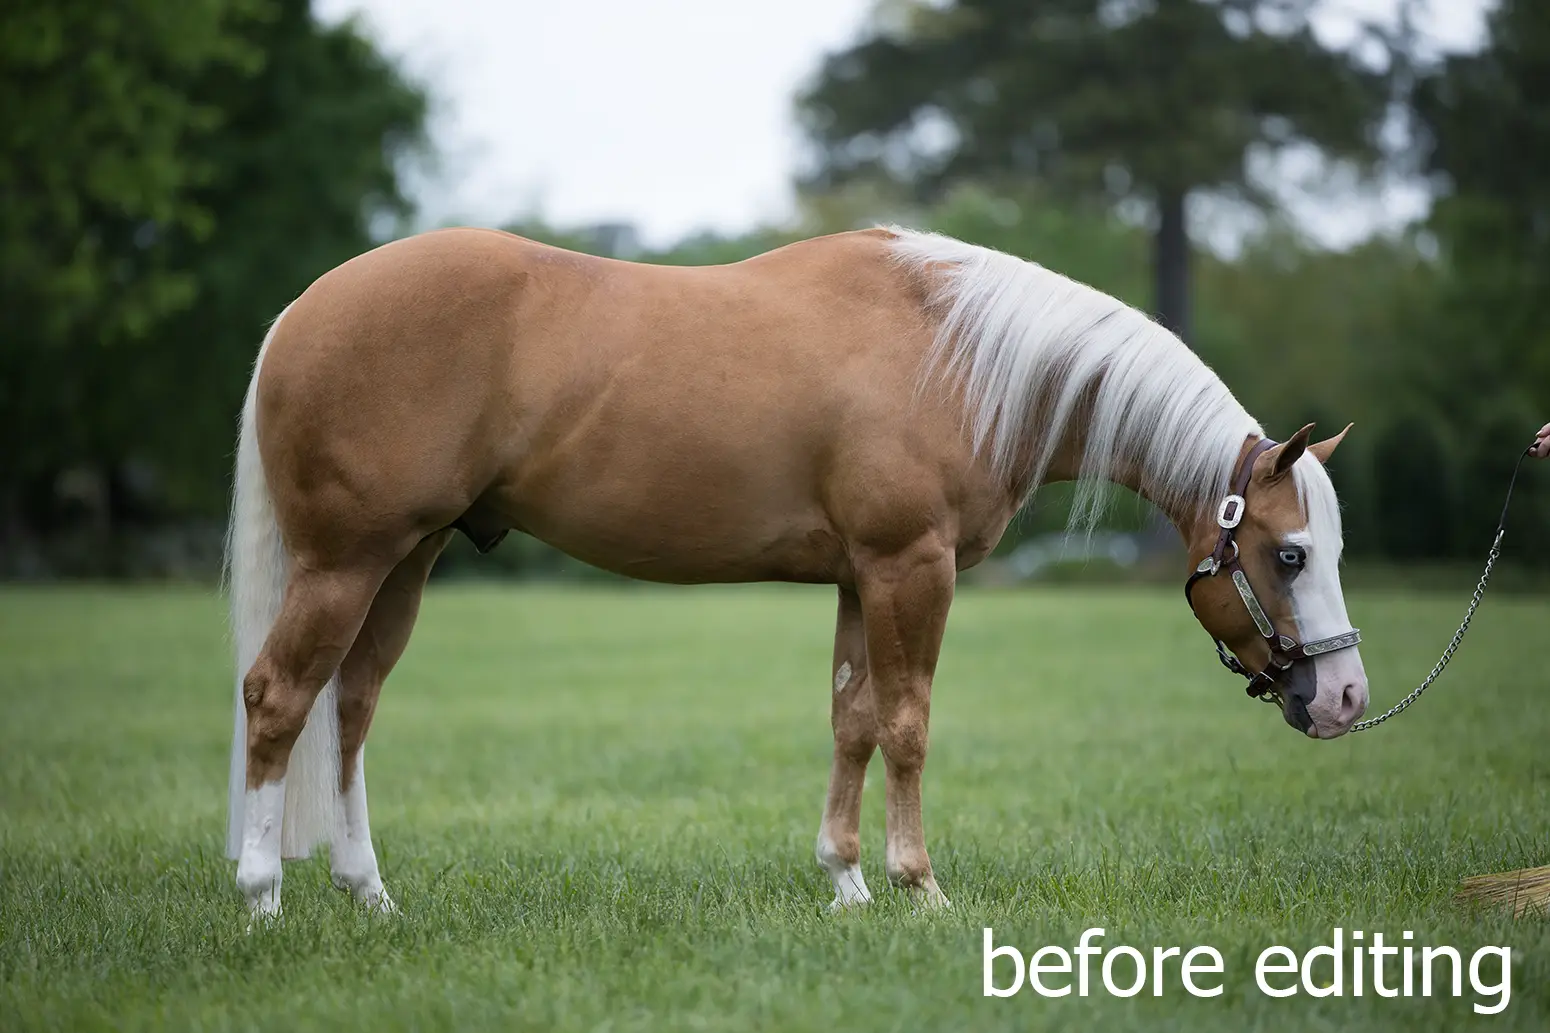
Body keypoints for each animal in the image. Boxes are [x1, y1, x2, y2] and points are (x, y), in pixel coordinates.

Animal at [224, 225, 1368, 919]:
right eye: (1288, 552)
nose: (1346, 697)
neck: (953, 350)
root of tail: (300, 311)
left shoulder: (862, 578)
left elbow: (852, 719)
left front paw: (846, 883)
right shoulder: (911, 567)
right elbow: (906, 723)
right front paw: (918, 886)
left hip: (404, 561)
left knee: (351, 704)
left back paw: (367, 890)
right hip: (346, 560)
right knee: (278, 695)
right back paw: (260, 895)